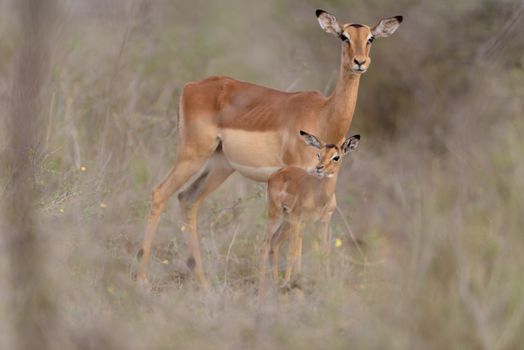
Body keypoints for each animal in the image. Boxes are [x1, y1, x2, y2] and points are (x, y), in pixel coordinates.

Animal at [258, 130, 360, 292]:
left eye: (336, 157)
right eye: (318, 154)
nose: (319, 168)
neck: (320, 195)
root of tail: (276, 173)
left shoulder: (322, 222)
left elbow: (323, 252)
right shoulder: (299, 220)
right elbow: (292, 254)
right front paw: (291, 286)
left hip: (288, 221)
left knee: (275, 243)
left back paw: (277, 286)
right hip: (277, 215)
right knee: (265, 245)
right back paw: (263, 292)